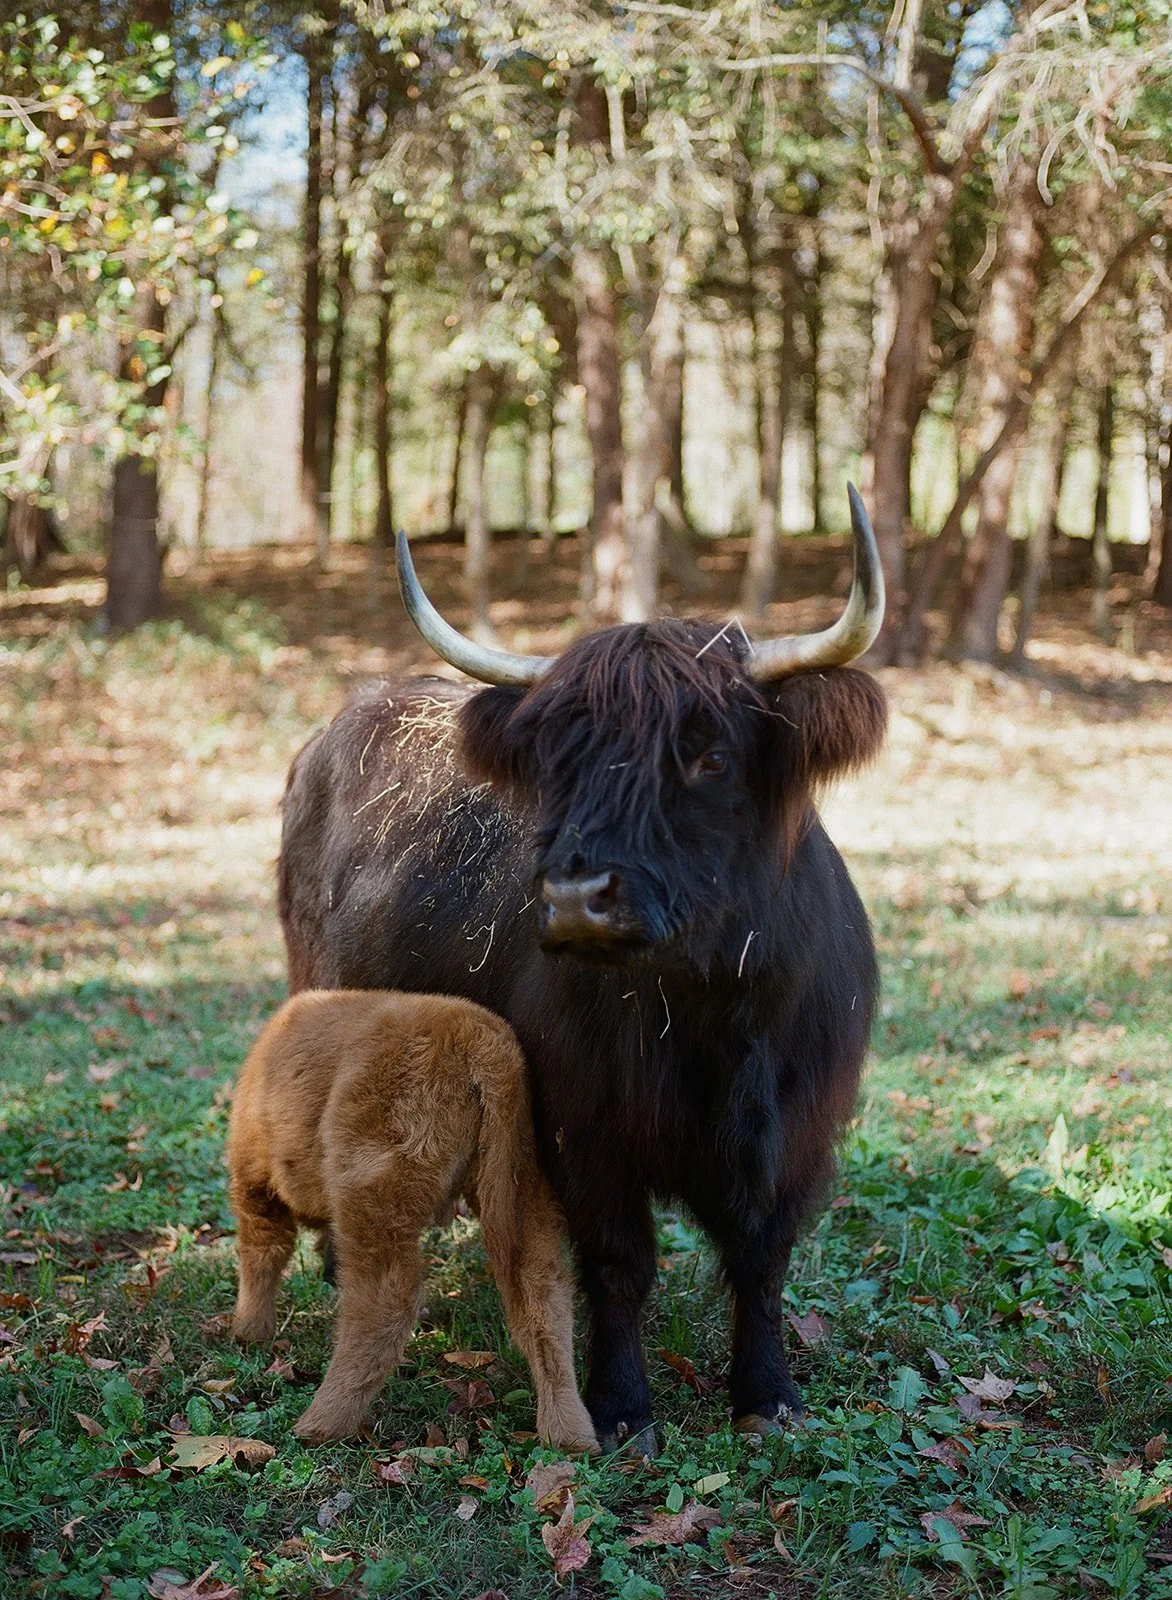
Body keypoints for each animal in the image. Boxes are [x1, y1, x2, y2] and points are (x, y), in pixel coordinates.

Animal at [278, 485, 887, 1454]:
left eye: (711, 754)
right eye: (558, 763)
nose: (573, 896)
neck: (711, 1014)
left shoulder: (797, 1126)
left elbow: (761, 1259)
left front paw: (769, 1393)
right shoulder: (585, 1126)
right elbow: (620, 1262)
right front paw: (621, 1404)